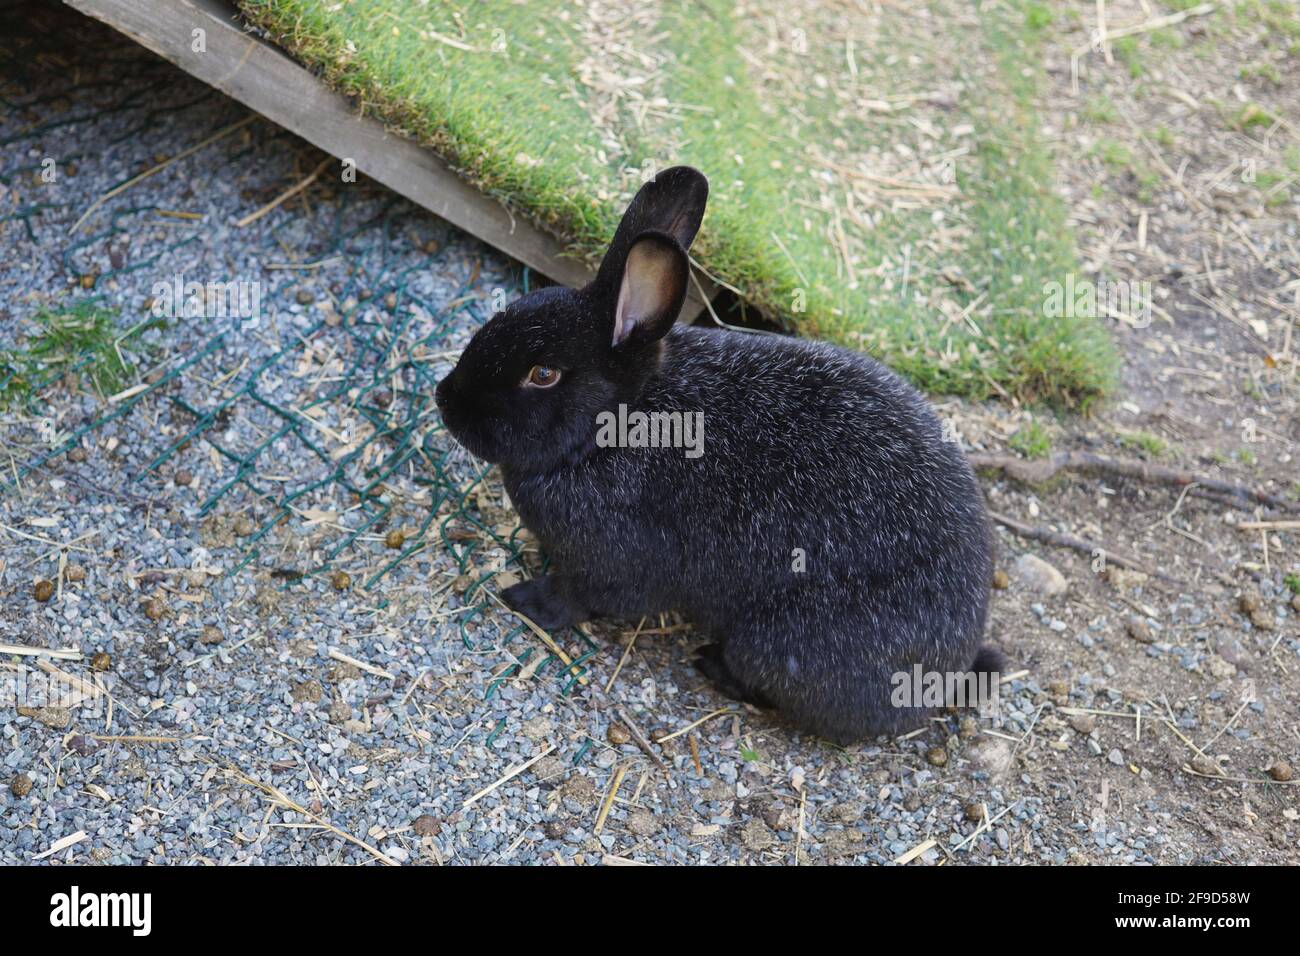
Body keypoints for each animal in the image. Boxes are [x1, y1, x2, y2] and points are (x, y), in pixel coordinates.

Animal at [436, 166, 993, 749]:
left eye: (542, 374)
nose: (445, 399)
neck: (620, 422)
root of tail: (944, 677)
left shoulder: (614, 559)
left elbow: (582, 596)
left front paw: (525, 599)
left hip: (776, 642)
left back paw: (711, 664)